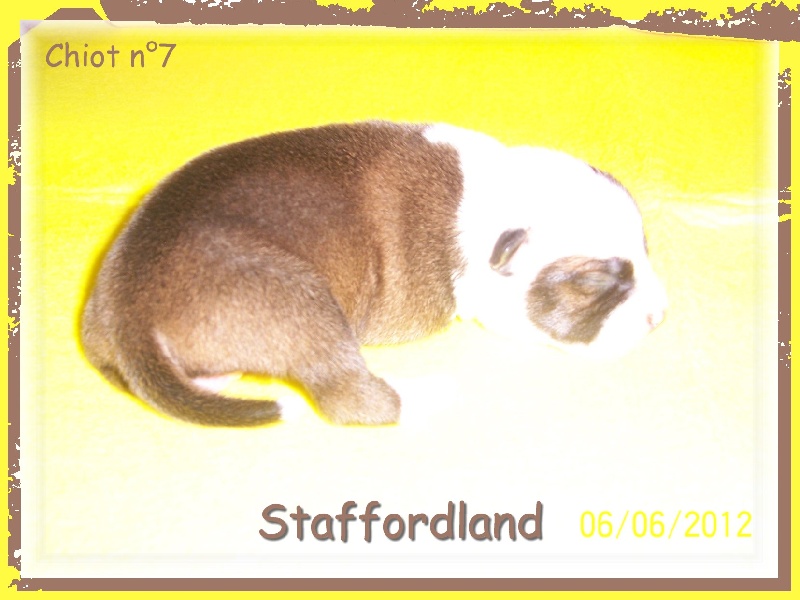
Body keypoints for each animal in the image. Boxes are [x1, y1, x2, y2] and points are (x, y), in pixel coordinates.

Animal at [80, 121, 667, 427]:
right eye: (594, 284)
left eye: (645, 249)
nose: (659, 316)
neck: (492, 198)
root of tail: (128, 313)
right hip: (295, 297)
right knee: (352, 398)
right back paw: (428, 394)